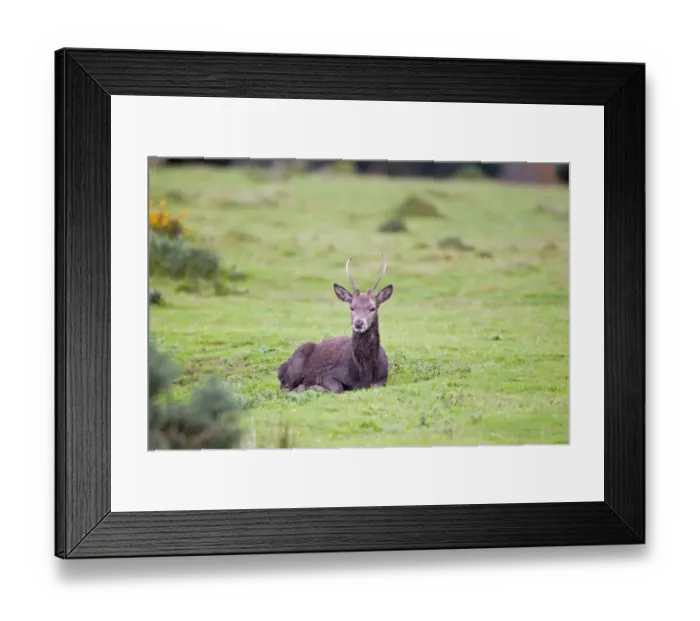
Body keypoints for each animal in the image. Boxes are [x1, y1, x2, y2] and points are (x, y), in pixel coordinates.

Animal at [277, 253, 394, 394]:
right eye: (352, 307)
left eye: (372, 308)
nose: (358, 323)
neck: (363, 373)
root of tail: (280, 368)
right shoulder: (328, 374)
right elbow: (337, 388)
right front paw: (313, 387)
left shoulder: (383, 378)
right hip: (294, 368)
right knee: (284, 388)